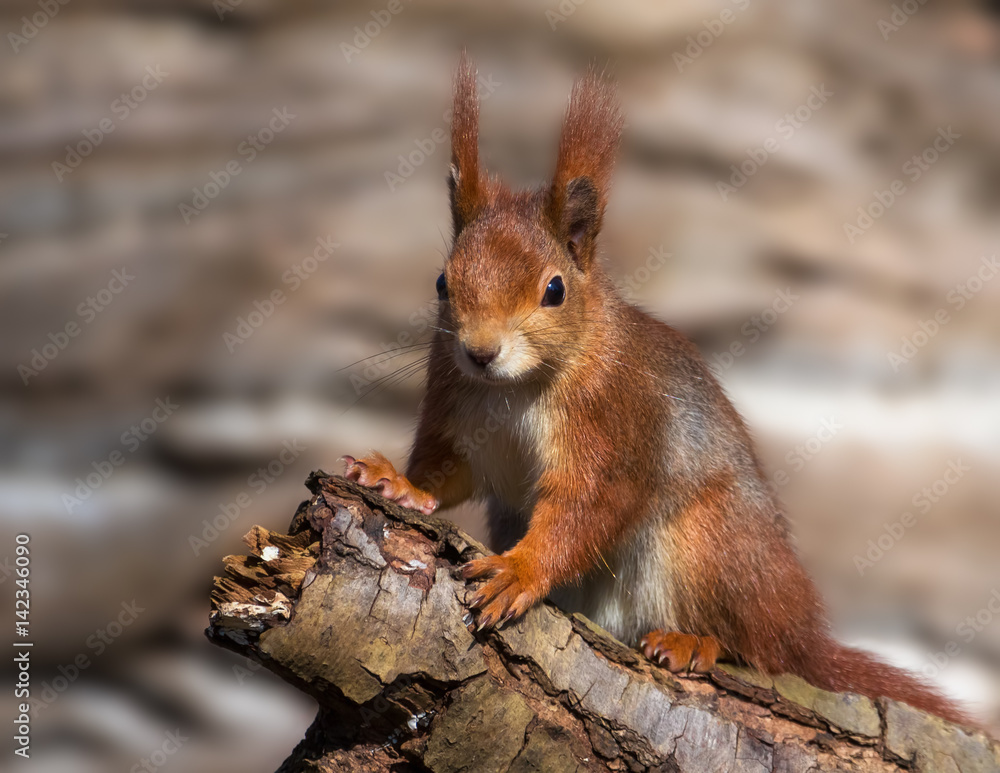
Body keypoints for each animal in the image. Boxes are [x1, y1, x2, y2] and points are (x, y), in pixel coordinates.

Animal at [342, 53, 970, 727]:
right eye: (441, 282)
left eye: (555, 290)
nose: (480, 352)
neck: (515, 388)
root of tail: (800, 627)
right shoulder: (455, 408)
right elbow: (445, 473)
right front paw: (397, 483)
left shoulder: (616, 424)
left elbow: (587, 508)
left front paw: (520, 569)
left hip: (707, 546)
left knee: (759, 650)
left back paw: (695, 641)